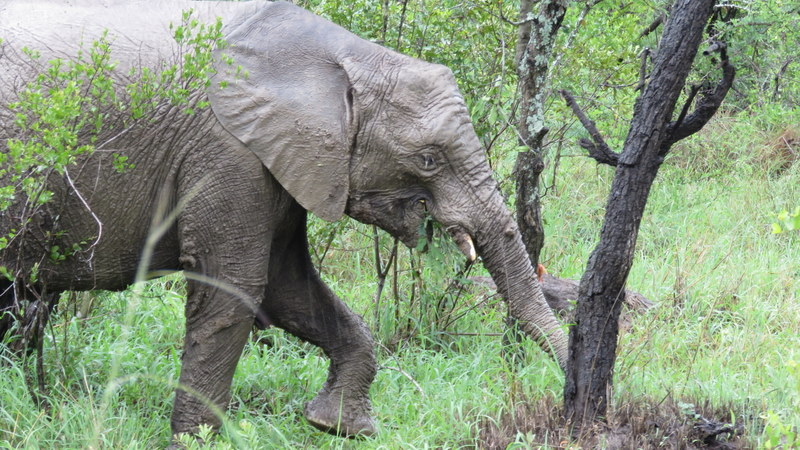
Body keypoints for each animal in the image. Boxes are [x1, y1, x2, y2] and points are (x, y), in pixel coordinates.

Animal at [0, 0, 568, 439]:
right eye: (429, 159)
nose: (564, 397)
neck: (345, 55)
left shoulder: (282, 158)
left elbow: (287, 286)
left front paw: (336, 427)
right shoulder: (229, 149)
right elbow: (235, 285)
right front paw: (199, 441)